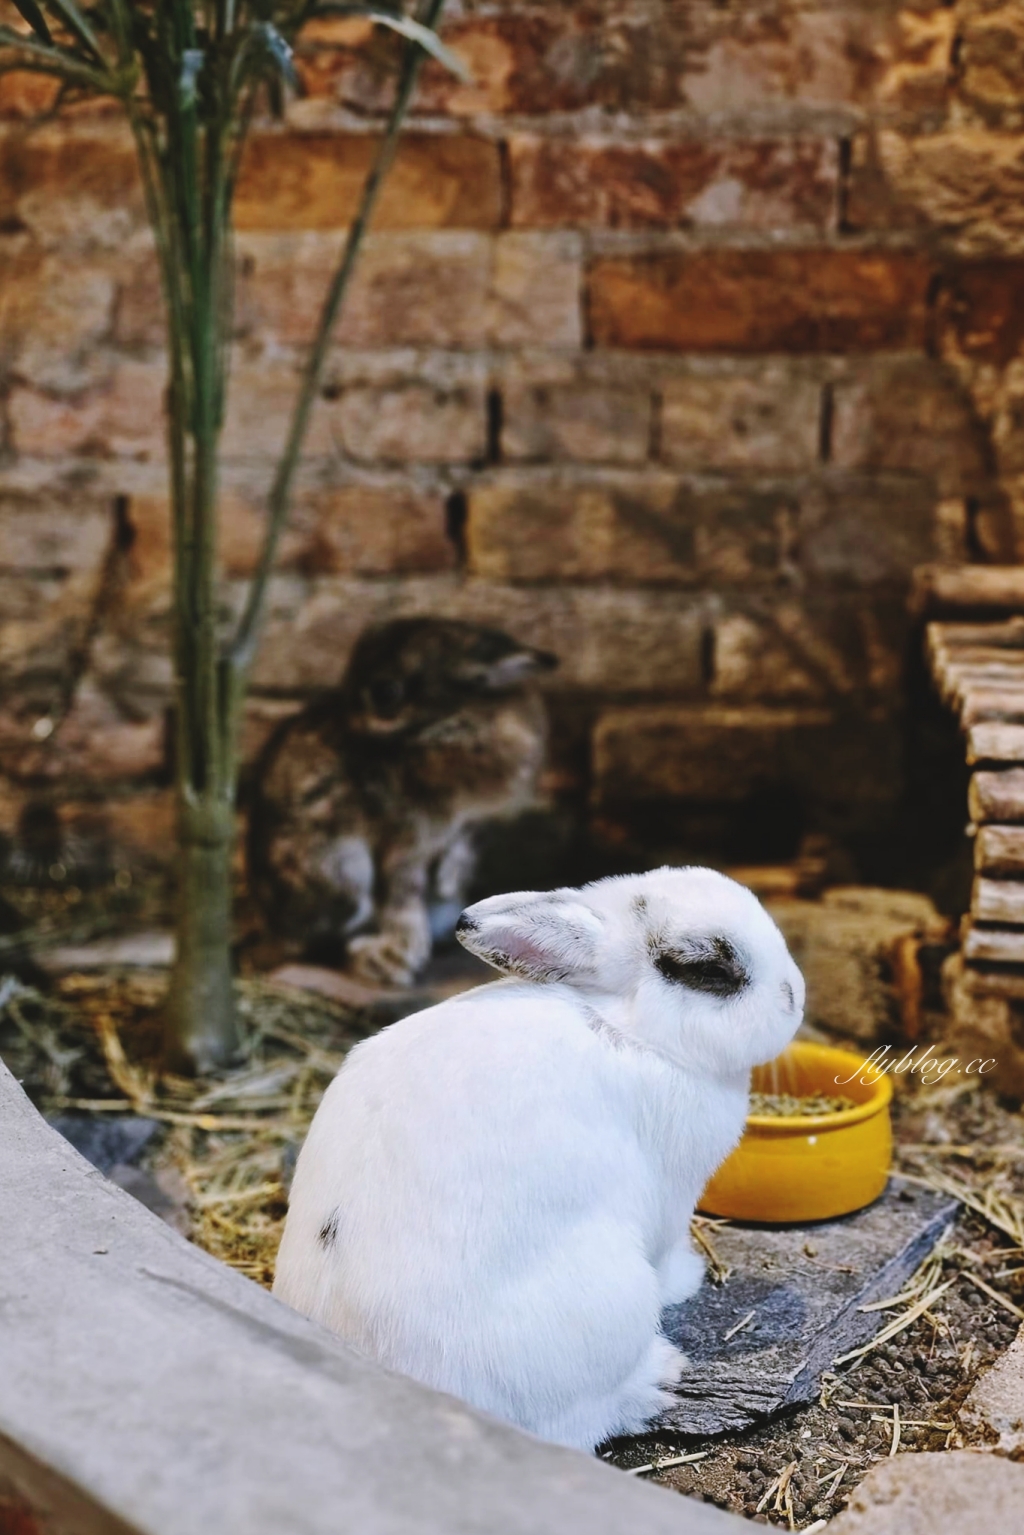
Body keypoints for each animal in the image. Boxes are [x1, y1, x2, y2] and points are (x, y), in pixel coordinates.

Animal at [247, 614, 555, 982]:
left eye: (385, 692)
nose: (346, 723)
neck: (454, 722)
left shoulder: (466, 826)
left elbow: (454, 856)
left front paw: (448, 886)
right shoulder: (408, 837)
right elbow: (403, 893)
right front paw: (406, 950)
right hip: (344, 872)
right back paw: (383, 960)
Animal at [274, 871, 810, 1442]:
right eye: (709, 971)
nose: (795, 997)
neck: (628, 1031)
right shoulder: (671, 1203)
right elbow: (667, 1254)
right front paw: (688, 1278)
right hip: (611, 1300)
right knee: (583, 1419)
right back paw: (657, 1378)